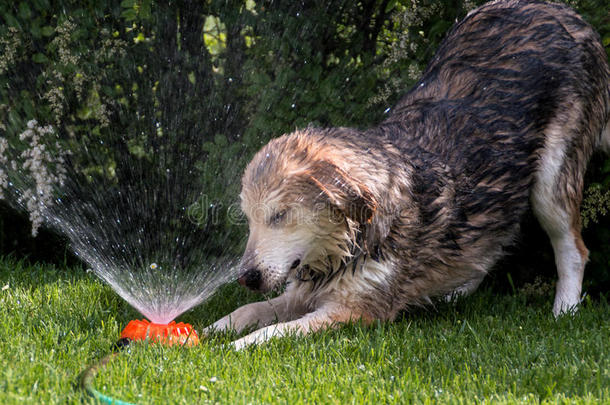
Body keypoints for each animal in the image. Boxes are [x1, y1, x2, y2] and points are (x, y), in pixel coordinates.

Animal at [205, 0, 608, 348]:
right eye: (250, 220)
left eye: (280, 216)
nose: (245, 277)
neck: (348, 243)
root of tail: (564, 11)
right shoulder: (302, 292)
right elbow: (248, 311)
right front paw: (209, 332)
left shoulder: (356, 311)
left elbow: (274, 331)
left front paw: (235, 348)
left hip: (552, 182)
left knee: (573, 248)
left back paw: (564, 310)